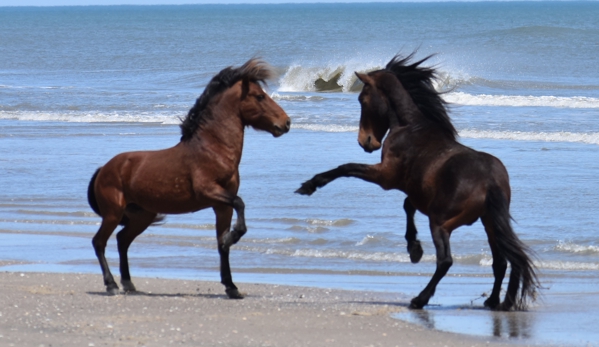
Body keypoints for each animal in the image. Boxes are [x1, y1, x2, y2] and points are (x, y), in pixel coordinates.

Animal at [88, 59, 290, 300]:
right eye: (260, 96)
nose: (286, 122)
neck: (212, 149)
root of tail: (104, 168)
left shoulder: (222, 207)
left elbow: (222, 245)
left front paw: (231, 286)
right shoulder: (210, 192)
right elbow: (240, 204)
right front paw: (233, 237)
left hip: (142, 216)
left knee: (122, 241)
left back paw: (128, 283)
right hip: (113, 213)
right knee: (99, 242)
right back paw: (111, 285)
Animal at [298, 55, 540, 312]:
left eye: (362, 99)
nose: (365, 142)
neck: (409, 128)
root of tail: (491, 181)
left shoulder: (385, 177)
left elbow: (347, 168)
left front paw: (310, 185)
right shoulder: (415, 191)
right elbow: (407, 205)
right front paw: (413, 247)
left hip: (441, 223)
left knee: (446, 261)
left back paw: (420, 299)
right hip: (490, 222)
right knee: (504, 260)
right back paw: (498, 301)